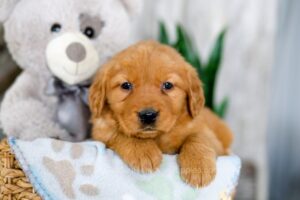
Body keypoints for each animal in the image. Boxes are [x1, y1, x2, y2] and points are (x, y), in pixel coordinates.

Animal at [90, 40, 233, 188]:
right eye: (126, 85)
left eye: (168, 85)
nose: (148, 115)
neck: (157, 137)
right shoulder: (100, 131)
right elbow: (119, 134)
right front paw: (143, 150)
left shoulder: (212, 138)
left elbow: (199, 136)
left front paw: (198, 166)